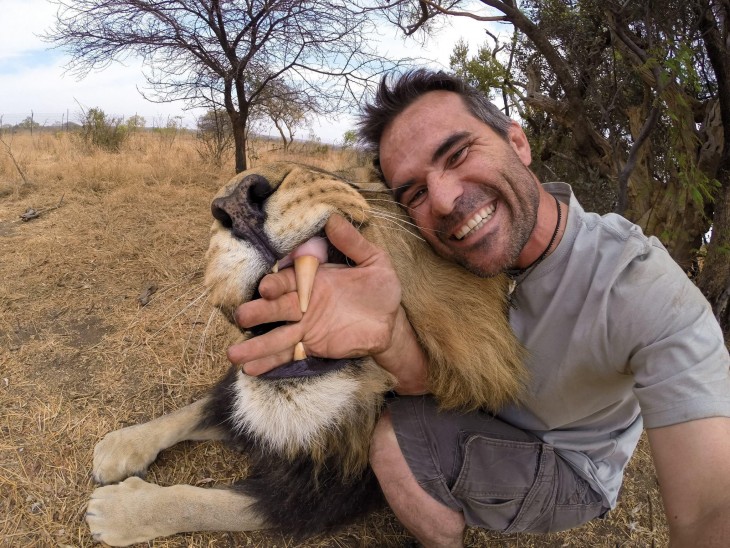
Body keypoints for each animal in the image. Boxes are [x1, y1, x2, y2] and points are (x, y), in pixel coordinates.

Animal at [85, 162, 524, 544]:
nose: (236, 205)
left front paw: (122, 510)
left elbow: (215, 504)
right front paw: (121, 446)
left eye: (363, 181)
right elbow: (196, 410)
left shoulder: (328, 492)